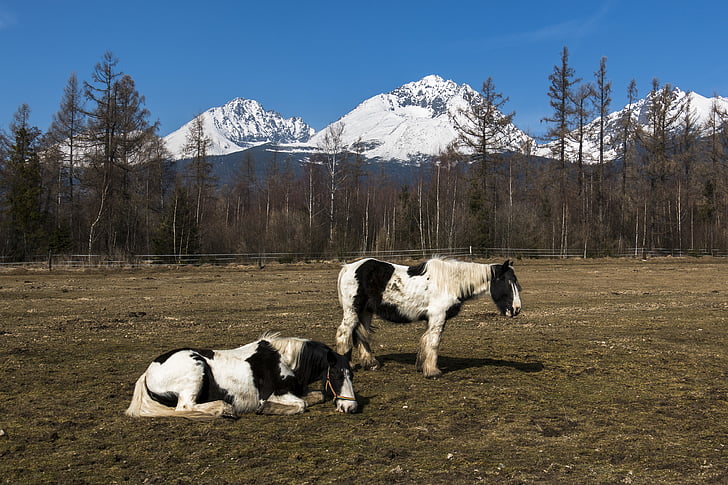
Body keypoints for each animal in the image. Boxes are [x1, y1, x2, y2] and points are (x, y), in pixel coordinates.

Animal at [126, 330, 358, 418]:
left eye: (352, 375)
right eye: (337, 375)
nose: (351, 407)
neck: (286, 360)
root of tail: (148, 372)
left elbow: (318, 396)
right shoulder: (276, 394)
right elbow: (301, 404)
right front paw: (265, 409)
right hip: (194, 370)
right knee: (184, 407)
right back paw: (223, 409)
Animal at [336, 258, 524, 378]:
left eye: (516, 282)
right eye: (505, 281)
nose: (516, 309)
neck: (450, 283)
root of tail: (348, 267)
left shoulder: (432, 319)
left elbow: (426, 341)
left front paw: (422, 366)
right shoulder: (438, 317)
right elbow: (434, 342)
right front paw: (433, 372)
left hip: (366, 312)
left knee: (361, 335)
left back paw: (371, 364)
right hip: (353, 311)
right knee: (343, 333)